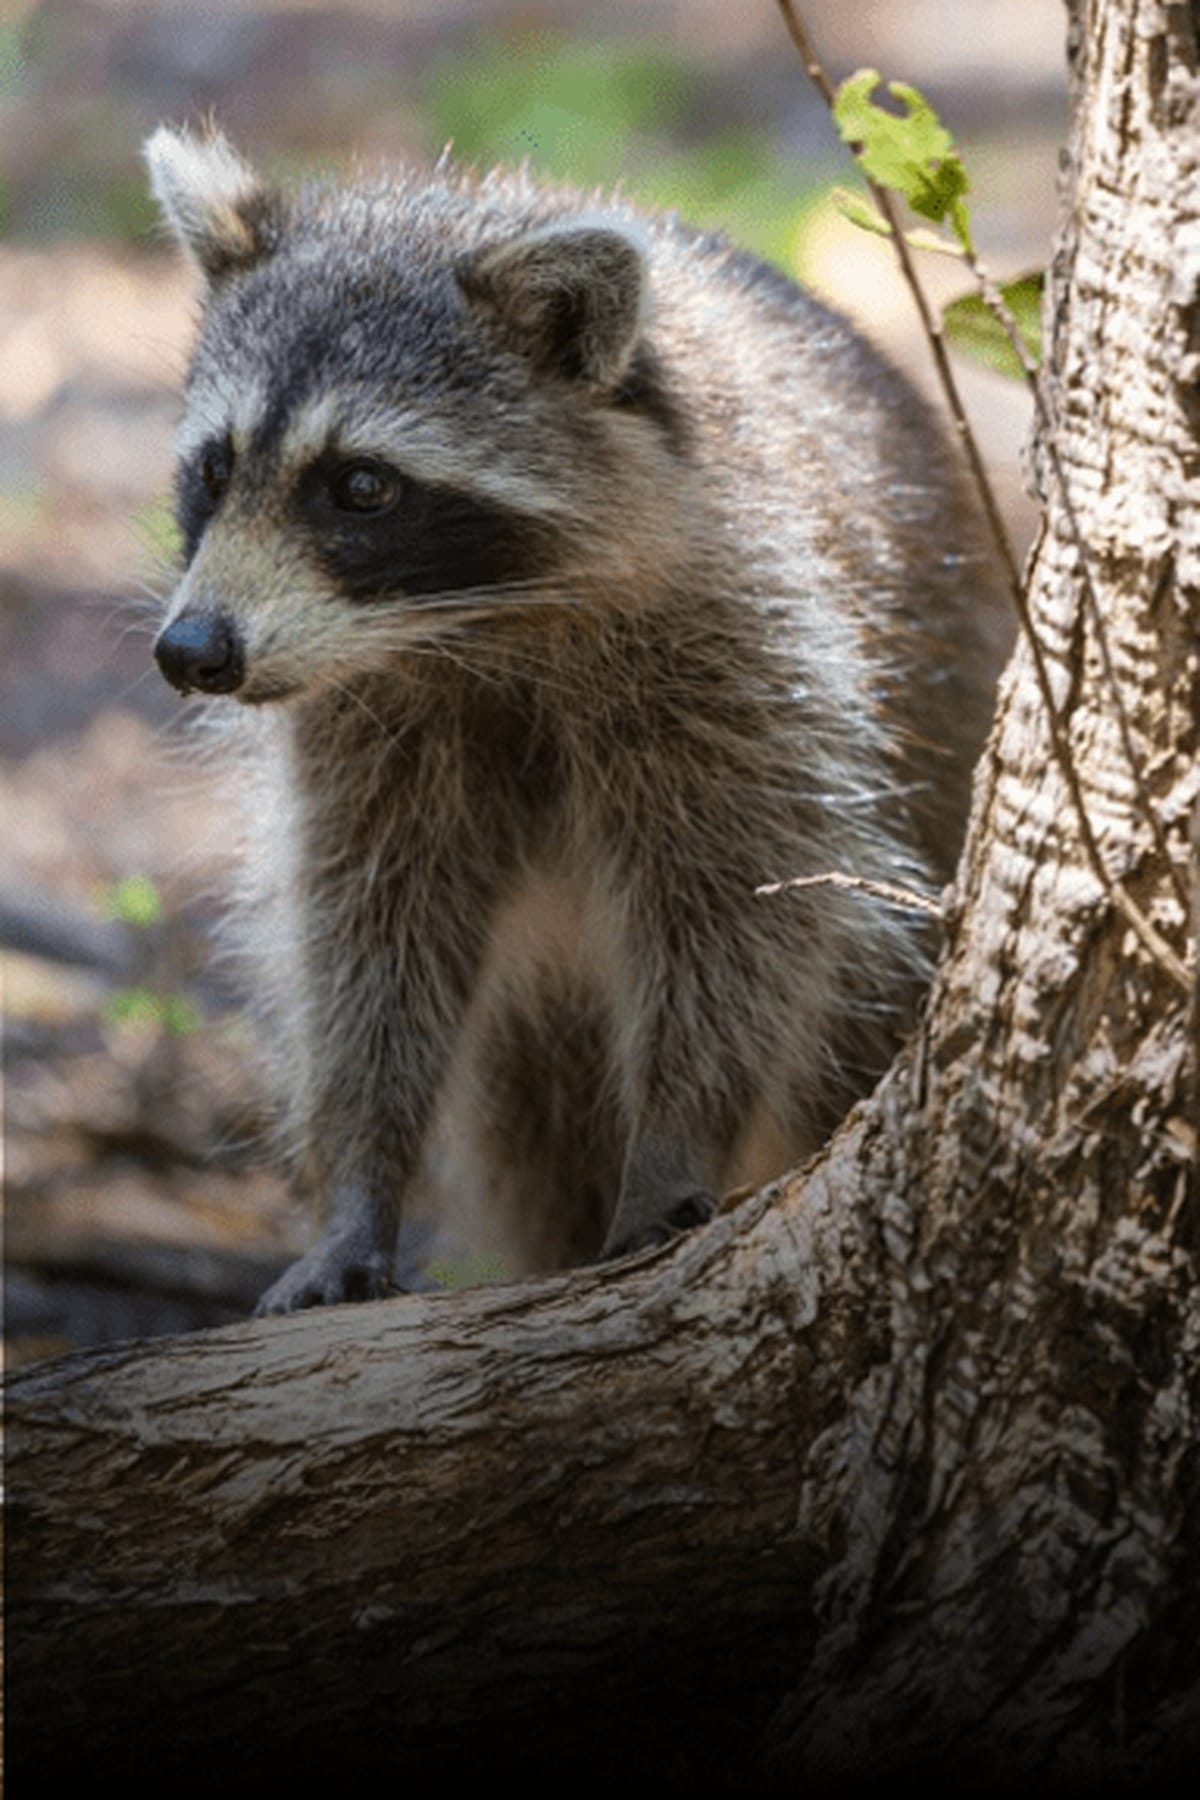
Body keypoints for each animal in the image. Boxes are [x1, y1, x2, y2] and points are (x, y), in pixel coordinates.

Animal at [144, 126, 999, 1315]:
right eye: (216, 467)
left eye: (361, 486)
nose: (192, 653)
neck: (472, 627)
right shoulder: (370, 722)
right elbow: (366, 929)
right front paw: (360, 1176)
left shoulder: (748, 647)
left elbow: (741, 912)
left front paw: (678, 1134)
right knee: (531, 1131)